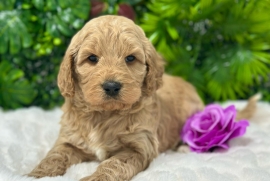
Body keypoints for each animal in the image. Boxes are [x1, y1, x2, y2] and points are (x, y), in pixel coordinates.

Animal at [28, 15, 204, 181]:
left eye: (130, 58)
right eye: (92, 58)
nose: (111, 86)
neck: (103, 114)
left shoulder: (139, 146)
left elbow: (114, 164)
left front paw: (97, 177)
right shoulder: (69, 139)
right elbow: (54, 156)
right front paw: (36, 175)